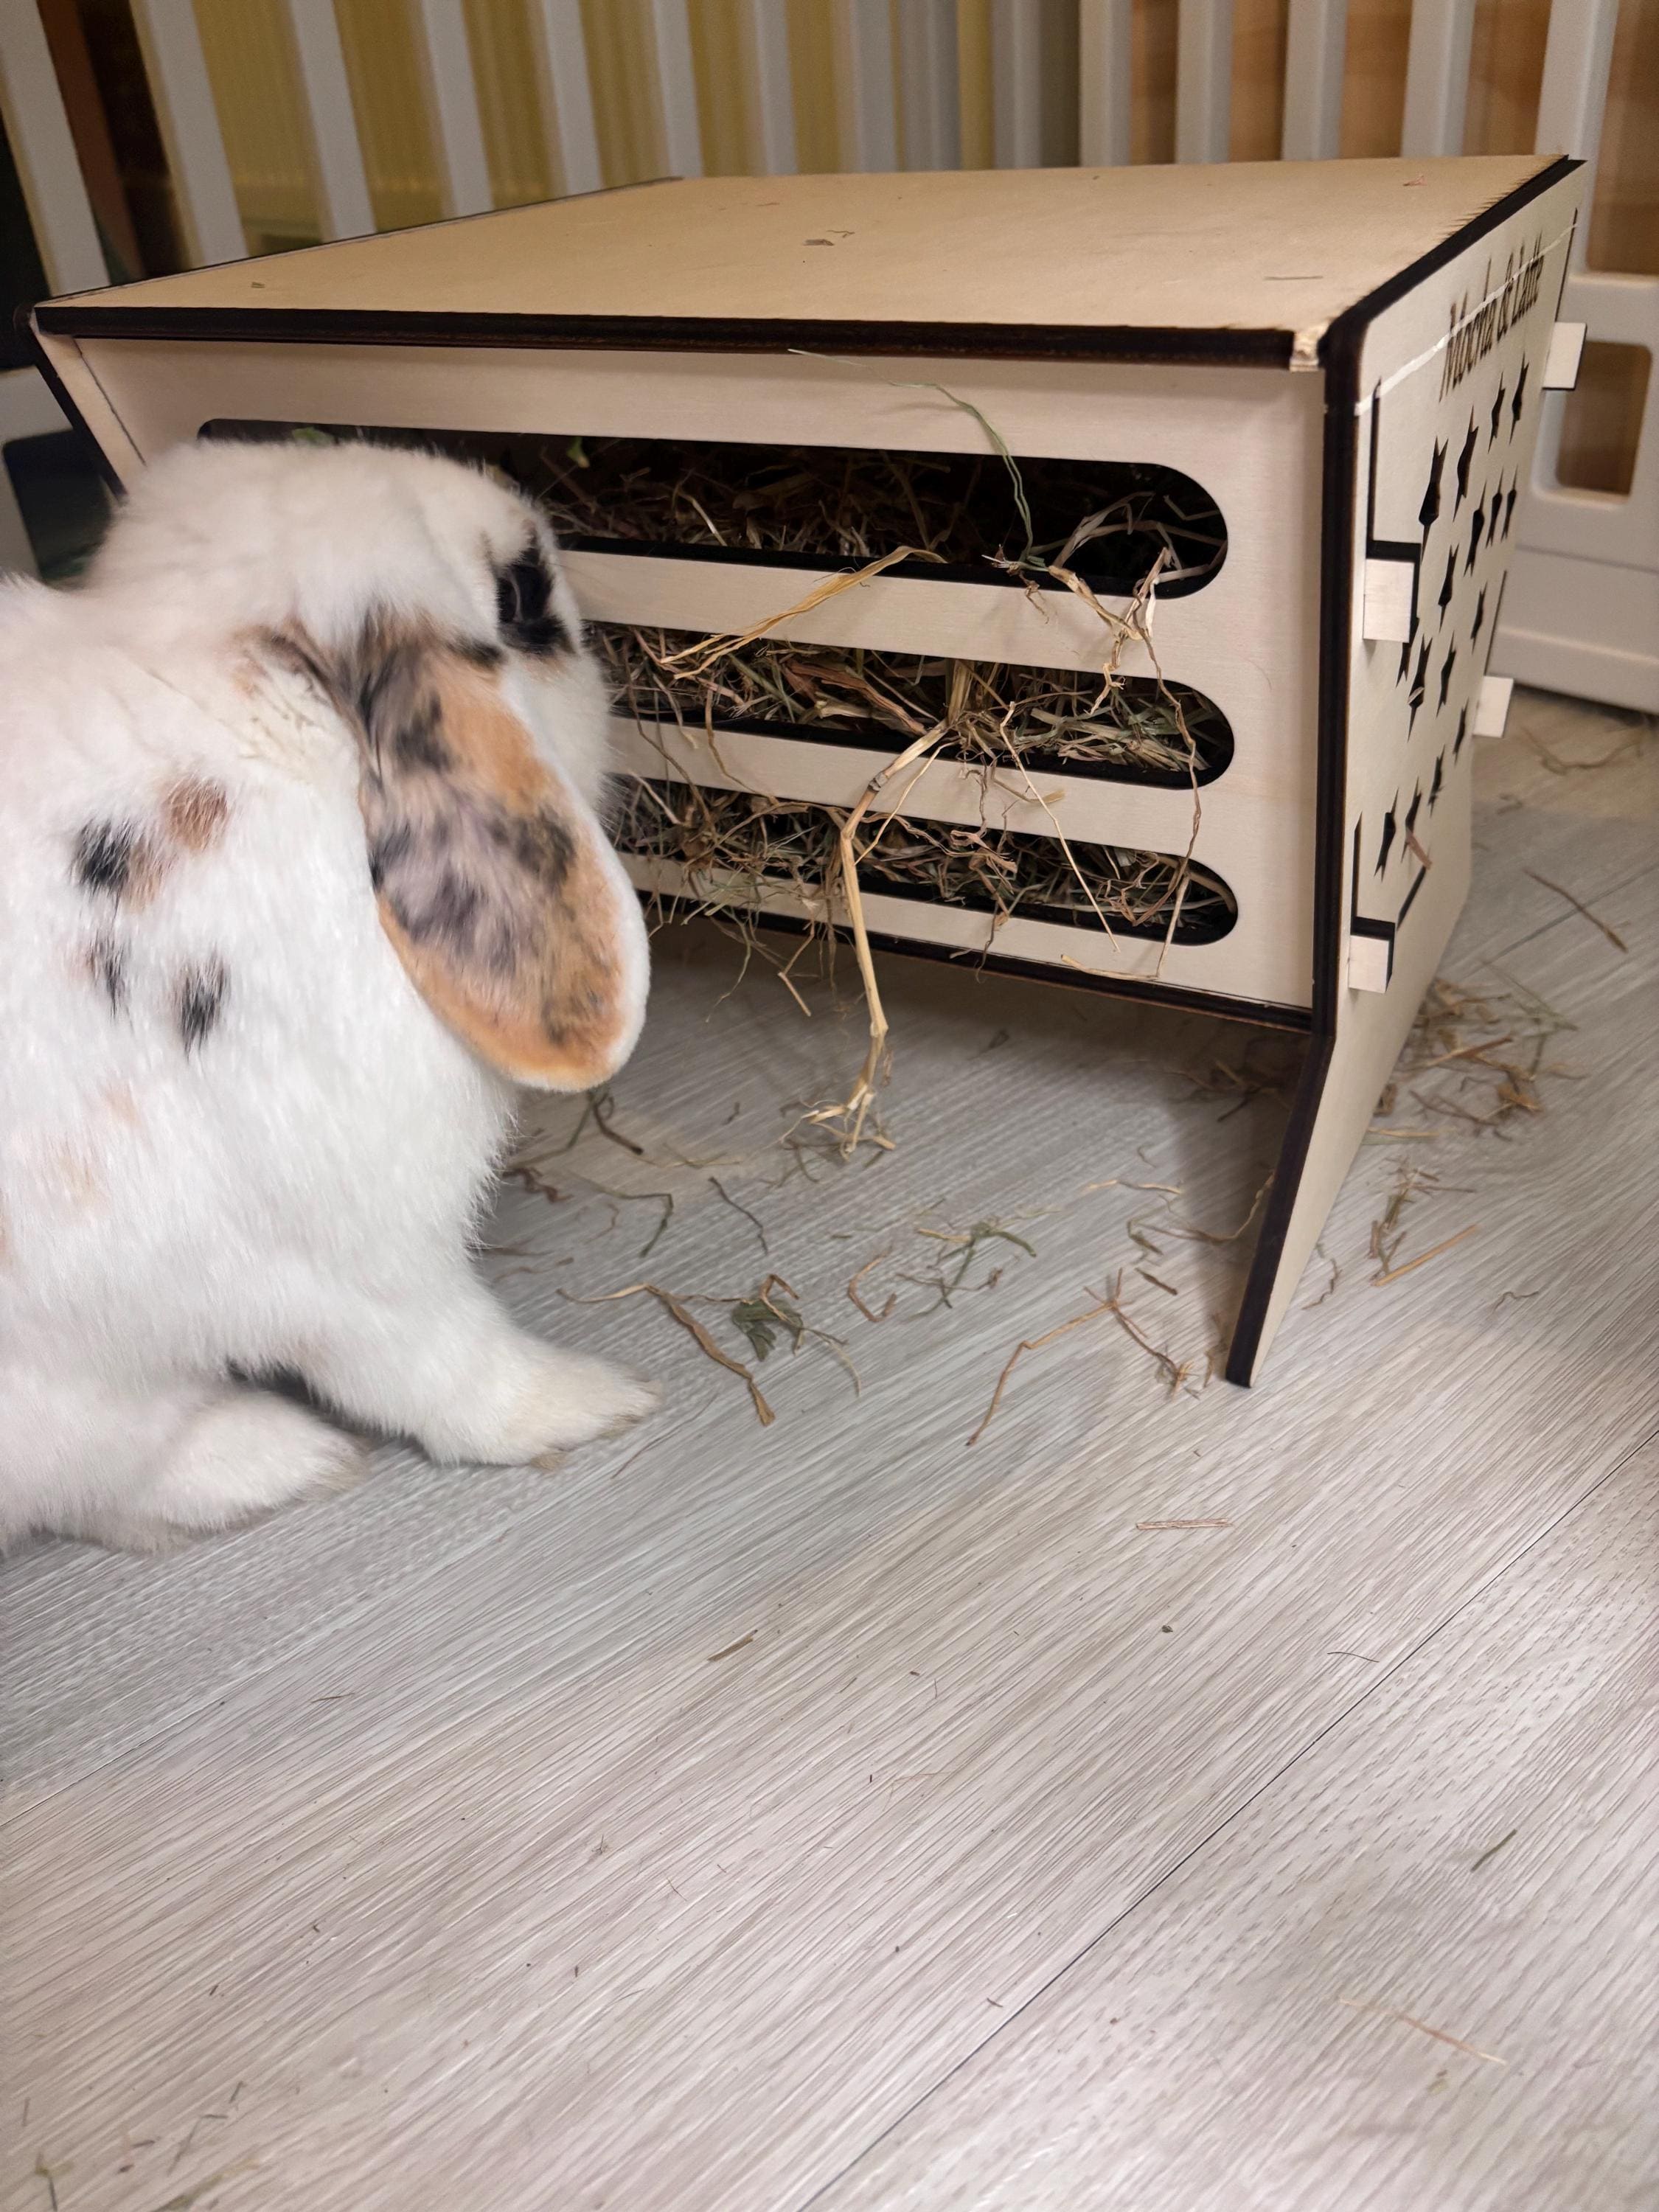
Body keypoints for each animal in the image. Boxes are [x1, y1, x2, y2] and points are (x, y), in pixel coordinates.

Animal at [0, 435, 657, 1552]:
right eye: (520, 594)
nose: (555, 541)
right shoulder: (356, 1249)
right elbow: (443, 1363)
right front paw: (588, 1402)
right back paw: (281, 1457)